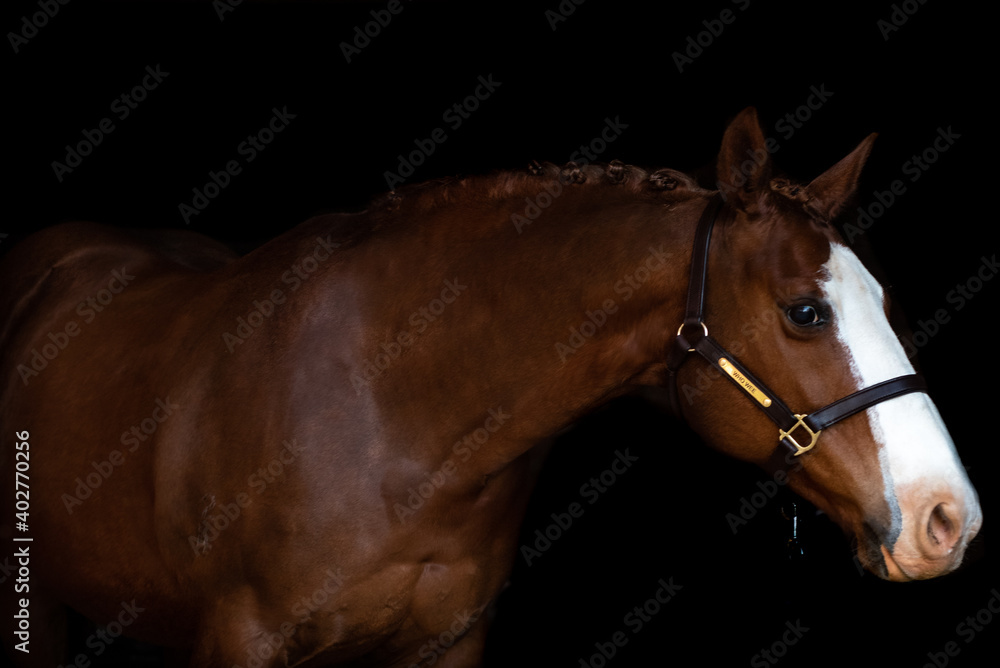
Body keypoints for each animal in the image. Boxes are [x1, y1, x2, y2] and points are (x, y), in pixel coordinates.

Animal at [0, 107, 982, 666]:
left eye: (887, 301)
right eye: (805, 312)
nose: (948, 518)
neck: (393, 419)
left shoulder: (449, 644)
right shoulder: (240, 642)